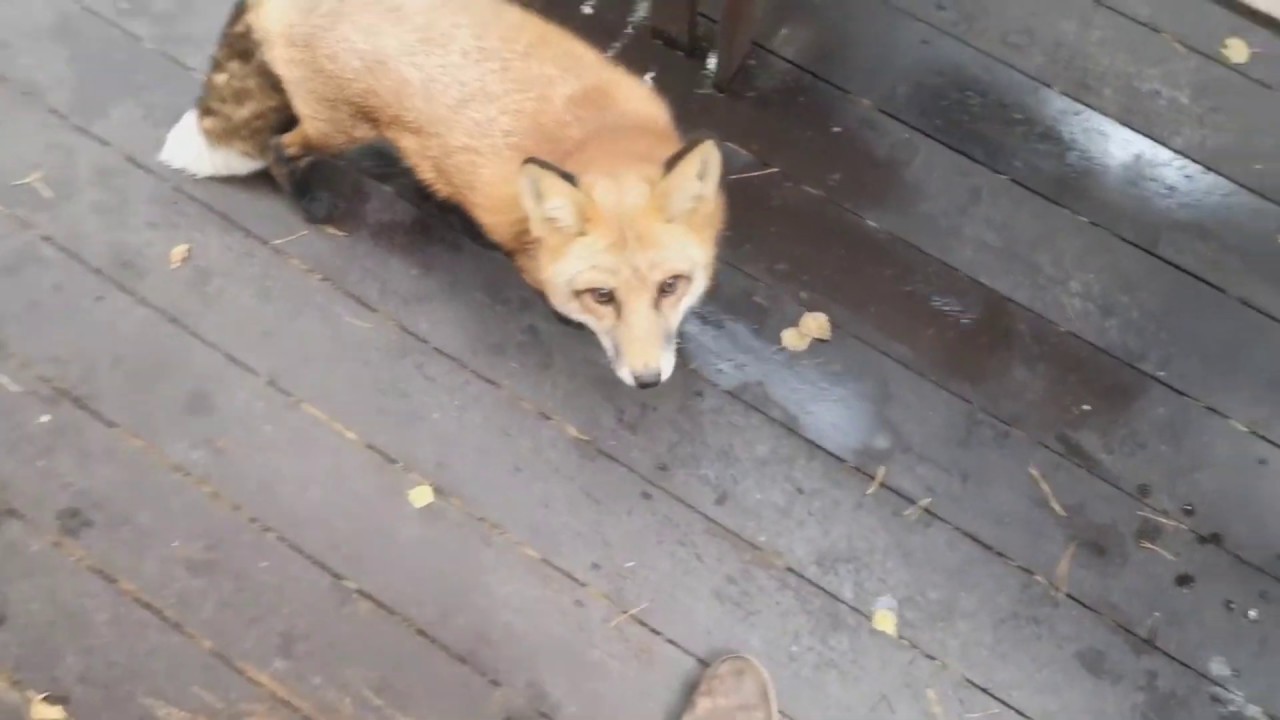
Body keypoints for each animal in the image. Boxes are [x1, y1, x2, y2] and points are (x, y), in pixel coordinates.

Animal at [157, 0, 725, 389]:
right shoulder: (529, 253)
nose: (647, 380)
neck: (602, 138)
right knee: (279, 146)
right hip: (338, 127)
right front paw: (565, 316)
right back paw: (310, 200)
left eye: (670, 286)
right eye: (602, 296)